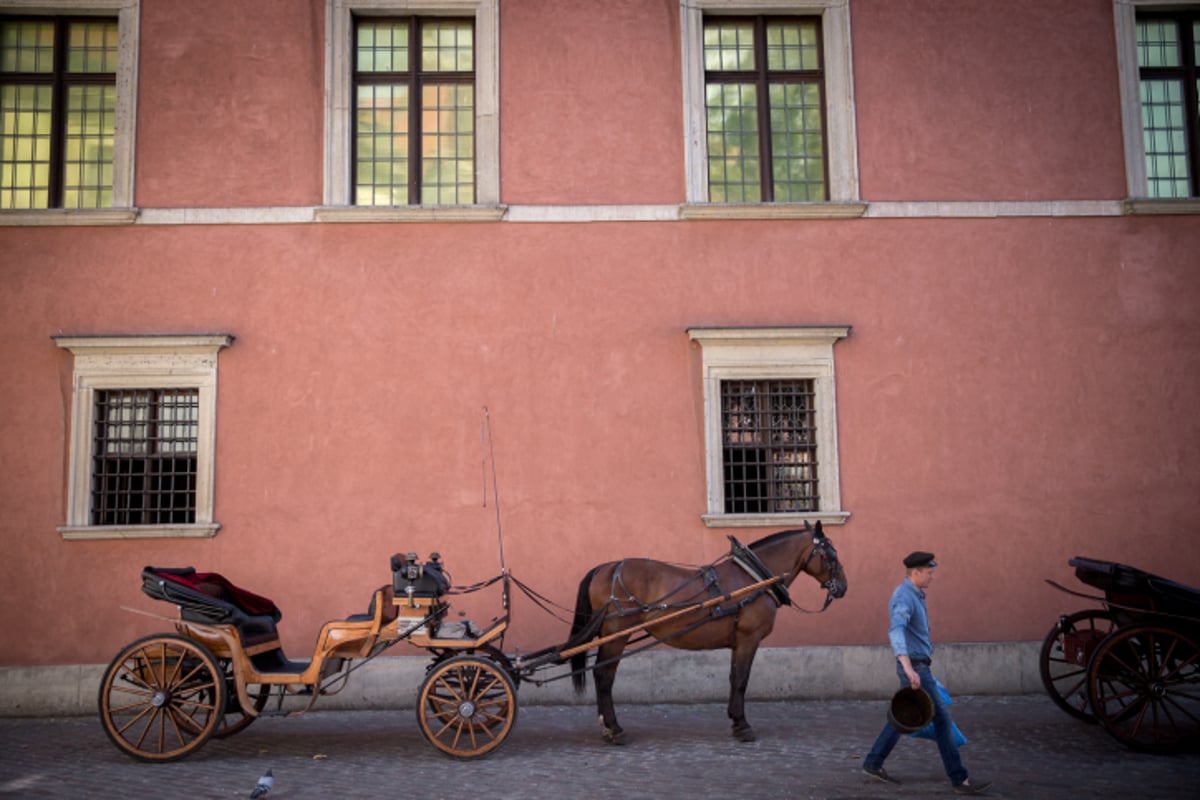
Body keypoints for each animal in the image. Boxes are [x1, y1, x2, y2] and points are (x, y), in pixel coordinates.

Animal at [566, 522, 849, 743]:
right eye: (831, 555)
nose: (843, 587)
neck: (753, 578)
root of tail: (607, 567)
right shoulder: (749, 638)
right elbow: (742, 680)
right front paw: (742, 726)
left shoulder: (738, 642)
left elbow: (734, 678)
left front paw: (735, 720)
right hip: (617, 634)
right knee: (604, 675)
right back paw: (613, 728)